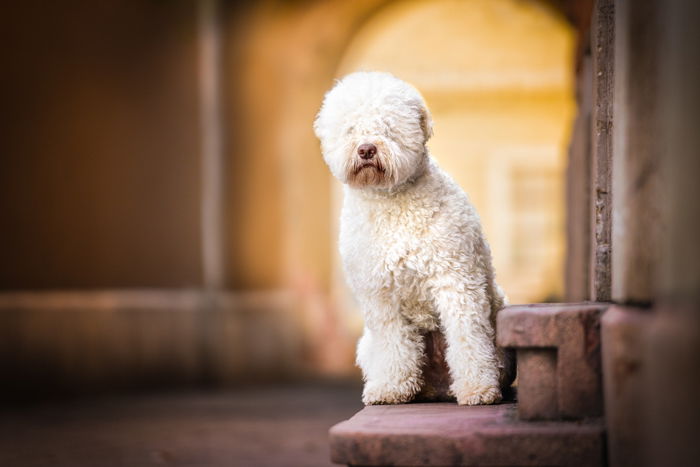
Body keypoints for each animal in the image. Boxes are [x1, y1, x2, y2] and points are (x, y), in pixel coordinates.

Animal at [314, 70, 512, 406]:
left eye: (388, 126)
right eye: (351, 129)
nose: (366, 149)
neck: (391, 202)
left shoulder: (457, 280)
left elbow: (467, 337)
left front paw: (478, 389)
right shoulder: (380, 293)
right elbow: (394, 342)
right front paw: (391, 388)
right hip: (366, 345)